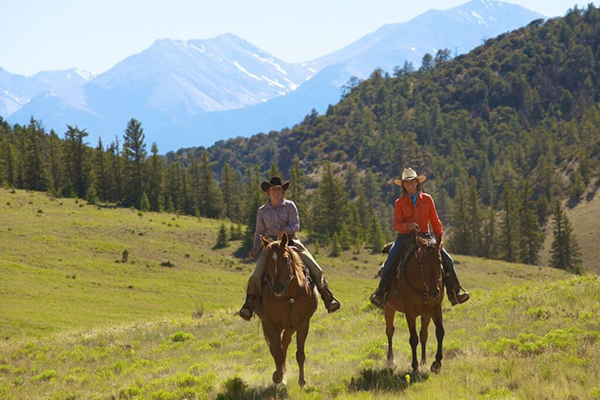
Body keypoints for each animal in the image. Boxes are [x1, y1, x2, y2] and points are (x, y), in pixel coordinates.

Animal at [253, 233, 318, 386]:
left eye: (286, 258)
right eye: (267, 261)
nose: (277, 288)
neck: (289, 295)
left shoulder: (303, 323)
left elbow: (300, 354)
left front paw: (302, 381)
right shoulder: (271, 324)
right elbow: (277, 353)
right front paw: (278, 377)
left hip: (291, 325)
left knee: (285, 340)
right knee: (276, 347)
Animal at [382, 233, 442, 374]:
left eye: (440, 260)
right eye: (422, 262)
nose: (434, 291)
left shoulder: (435, 308)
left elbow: (439, 332)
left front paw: (436, 363)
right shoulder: (410, 312)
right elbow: (413, 338)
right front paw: (414, 366)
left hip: (426, 314)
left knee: (424, 334)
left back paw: (424, 361)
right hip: (389, 308)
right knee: (390, 330)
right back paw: (390, 359)